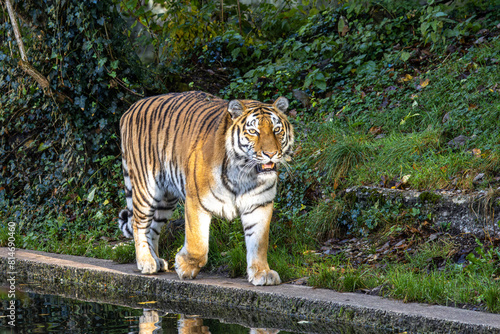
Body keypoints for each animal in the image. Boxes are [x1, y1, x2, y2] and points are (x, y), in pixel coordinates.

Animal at [117, 90, 292, 286]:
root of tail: (132, 108)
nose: (271, 154)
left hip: (165, 198)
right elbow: (198, 245)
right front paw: (185, 267)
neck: (245, 173)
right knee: (139, 224)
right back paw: (146, 262)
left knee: (153, 228)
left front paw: (262, 272)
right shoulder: (196, 201)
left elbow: (259, 243)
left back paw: (156, 261)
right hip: (146, 186)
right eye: (253, 131)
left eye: (277, 130)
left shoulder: (260, 204)